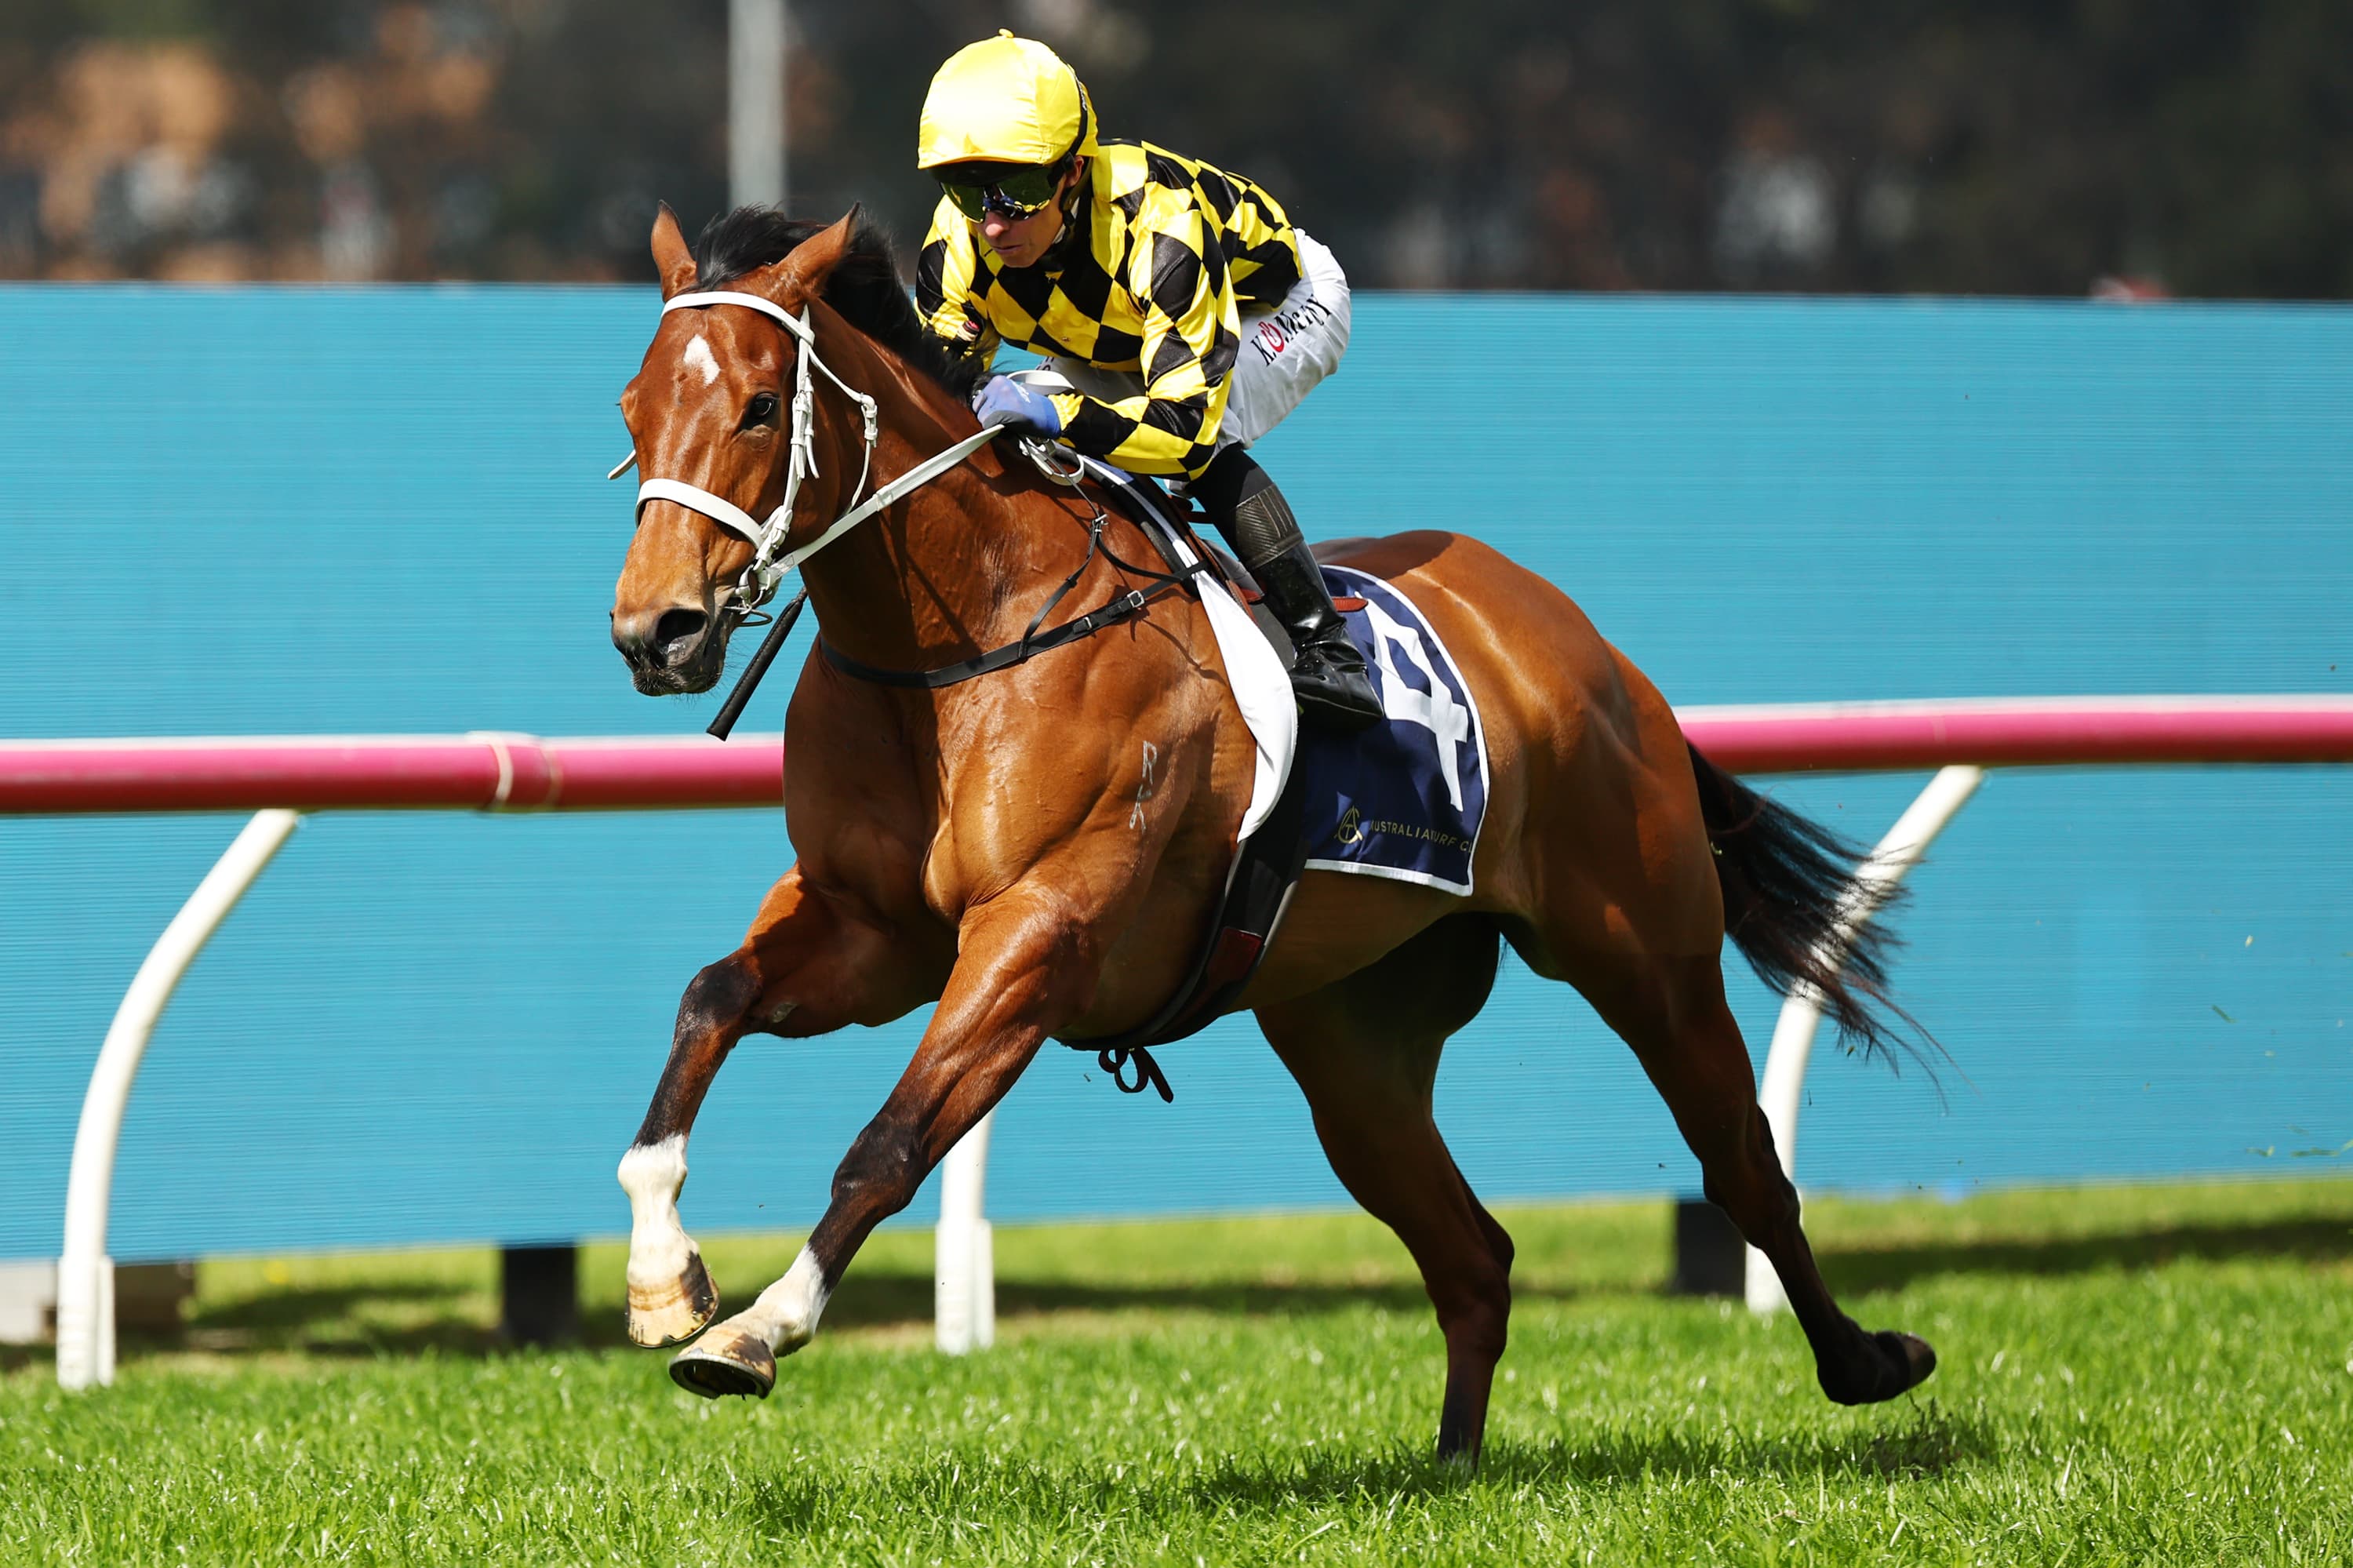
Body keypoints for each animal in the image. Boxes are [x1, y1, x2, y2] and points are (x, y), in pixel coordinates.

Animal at [605, 203, 1936, 1462]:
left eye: (761, 407)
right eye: (632, 407)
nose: (655, 630)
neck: (966, 635)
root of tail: (1588, 646)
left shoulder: (1038, 932)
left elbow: (887, 1143)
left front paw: (758, 1327)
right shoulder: (874, 932)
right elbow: (710, 999)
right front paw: (666, 1273)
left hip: (1646, 950)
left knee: (1744, 1166)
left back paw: (1870, 1359)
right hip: (1353, 1040)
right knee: (1475, 1254)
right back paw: (1452, 1465)